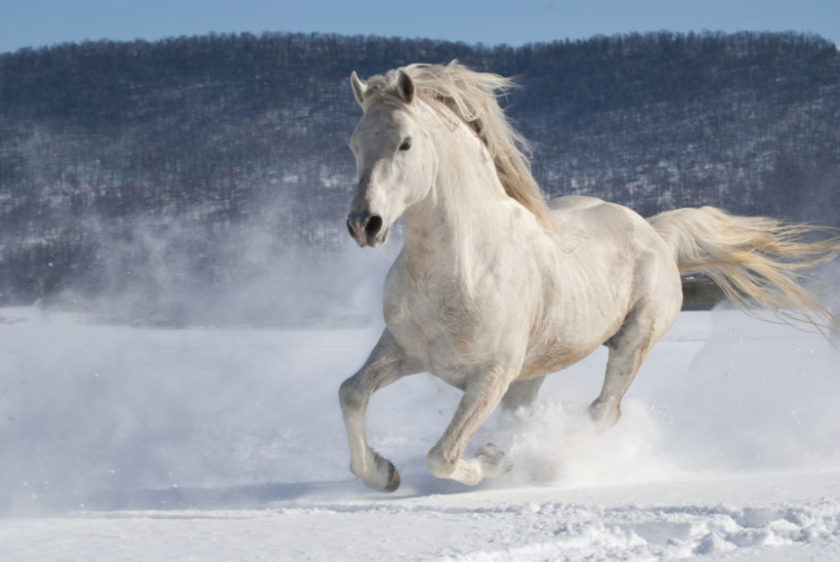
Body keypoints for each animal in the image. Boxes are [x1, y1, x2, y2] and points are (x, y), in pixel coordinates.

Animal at [338, 62, 836, 490]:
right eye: (355, 144)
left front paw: (491, 463)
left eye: (405, 143)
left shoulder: (492, 375)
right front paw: (383, 473)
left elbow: (443, 456)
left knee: (603, 411)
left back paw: (547, 459)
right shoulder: (403, 350)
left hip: (633, 340)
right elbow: (351, 393)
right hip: (536, 367)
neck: (463, 268)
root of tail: (654, 233)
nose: (365, 224)